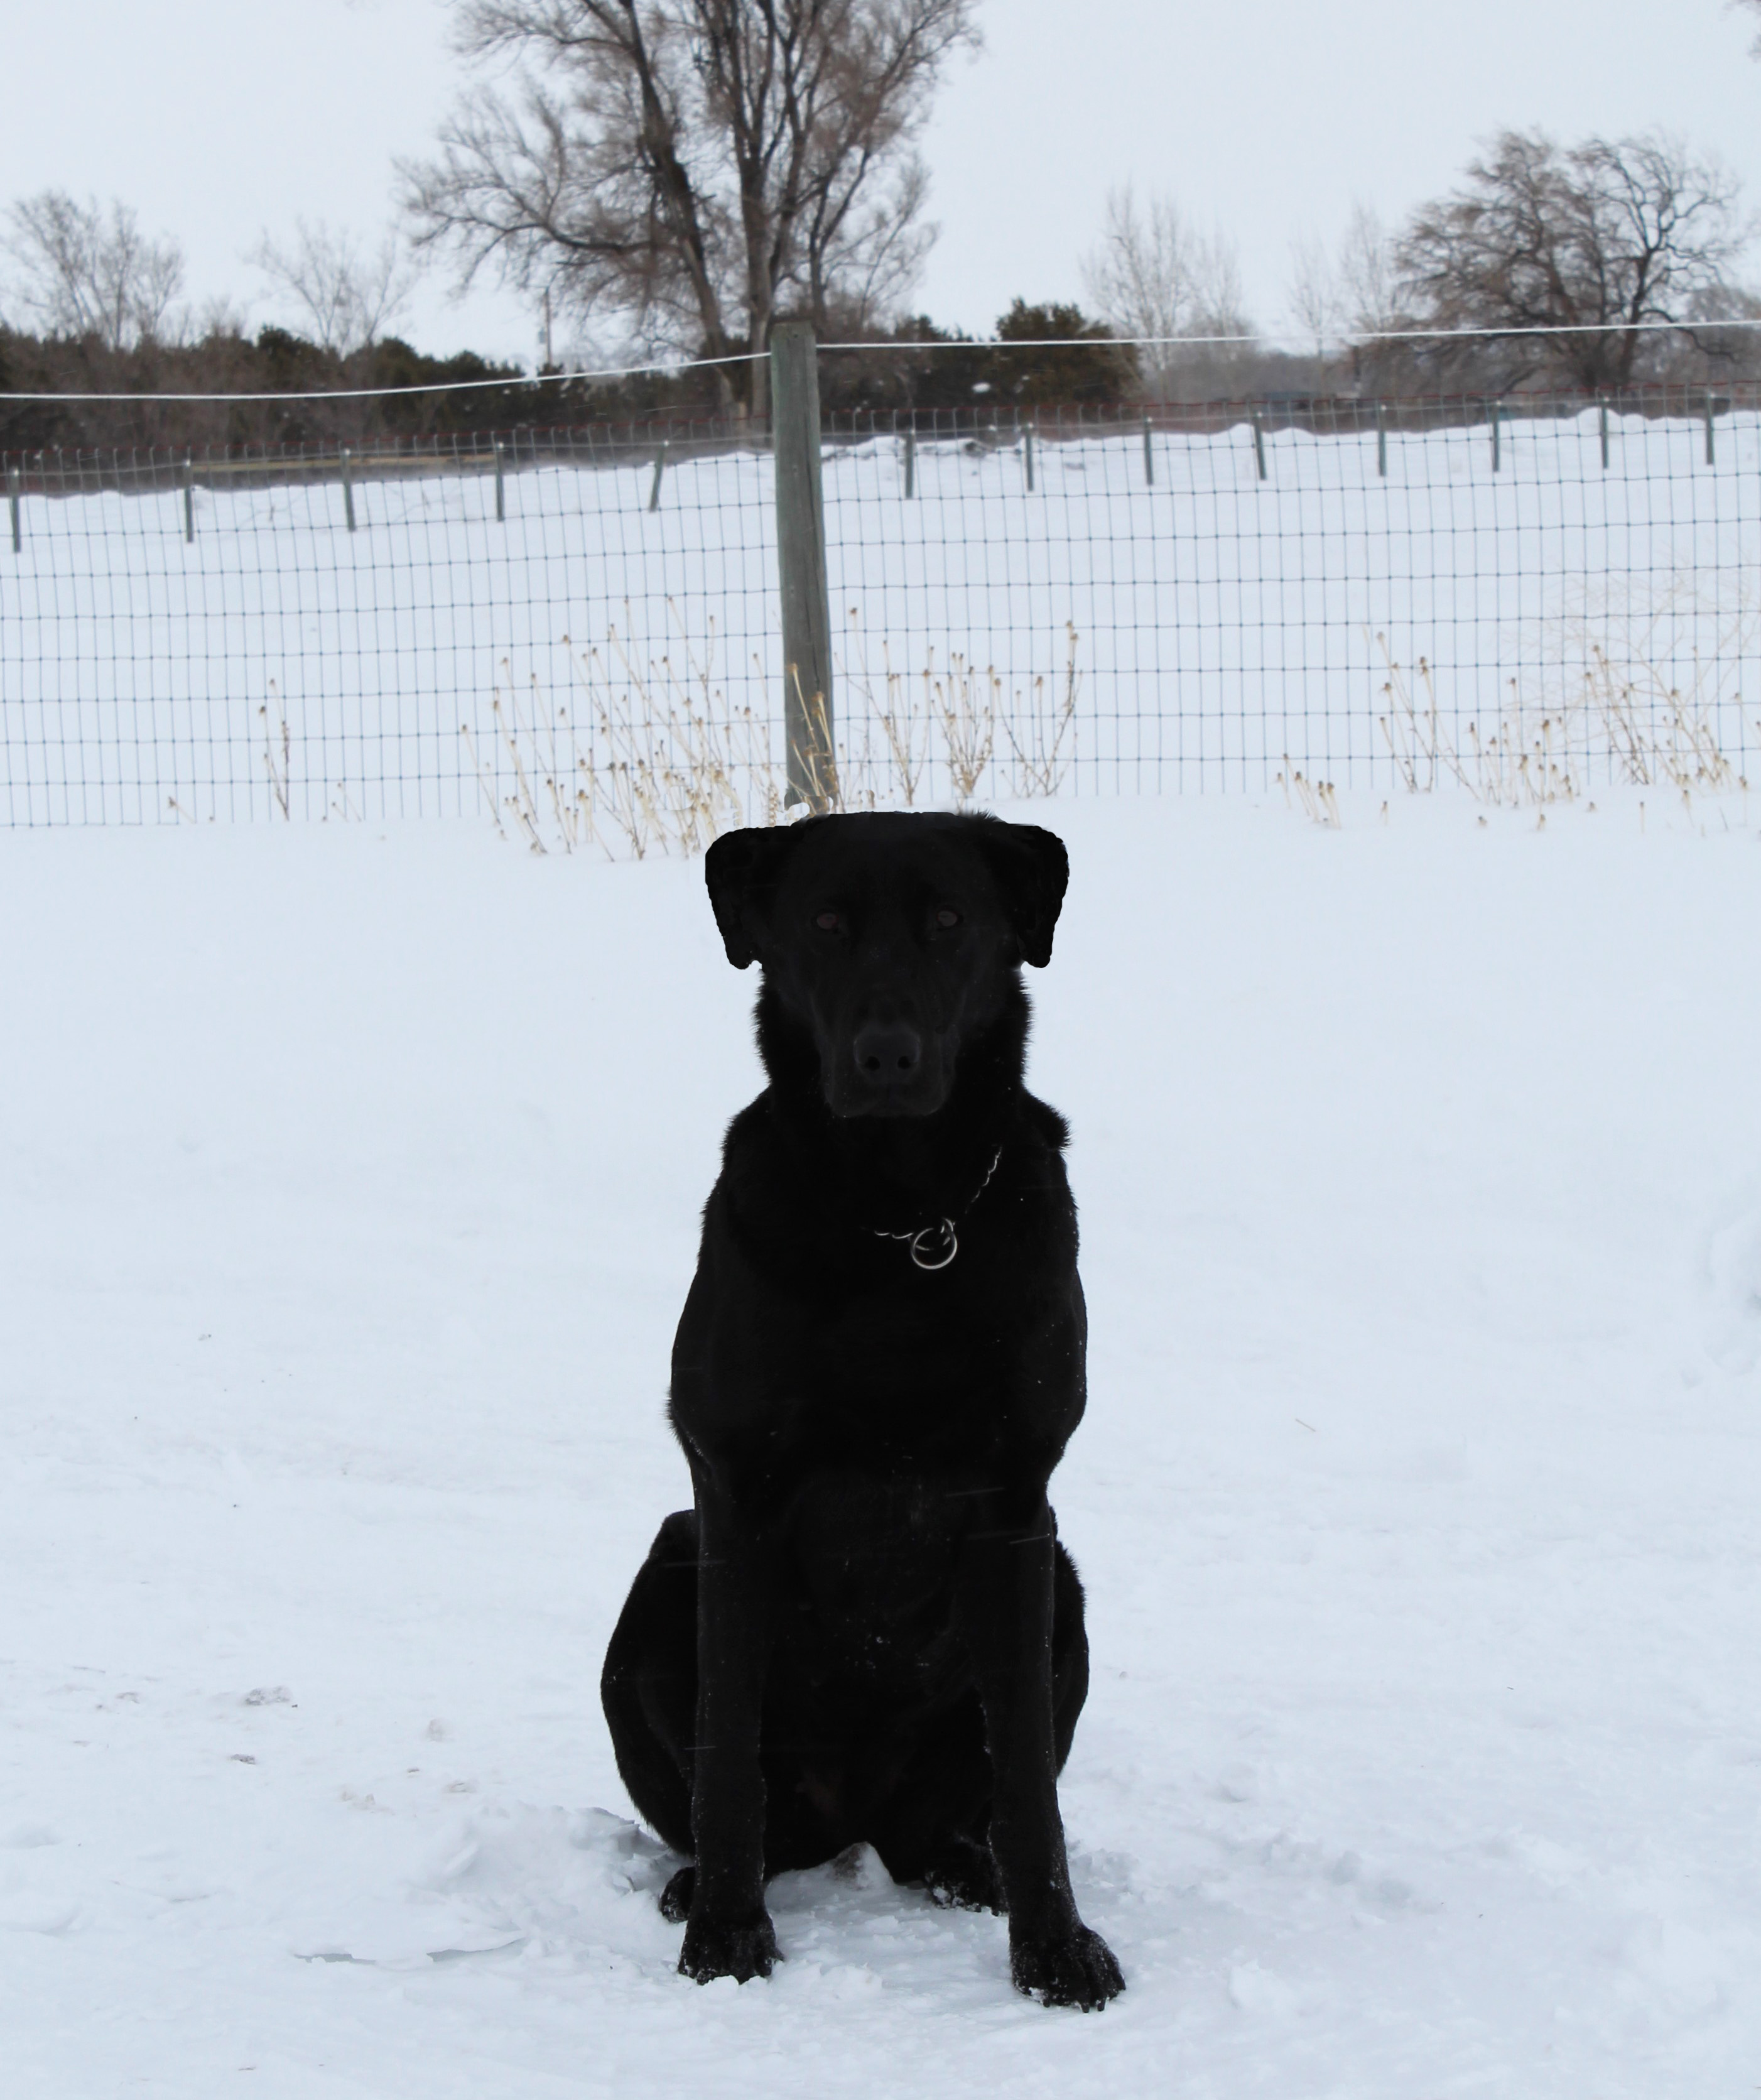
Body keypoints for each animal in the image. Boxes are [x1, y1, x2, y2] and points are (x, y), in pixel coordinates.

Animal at [604, 810, 1133, 2007]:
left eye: (947, 919)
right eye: (826, 923)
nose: (885, 1057)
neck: (902, 1225)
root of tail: (856, 1822)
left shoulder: (1016, 1503)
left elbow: (1027, 1778)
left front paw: (1054, 1949)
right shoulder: (734, 1491)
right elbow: (725, 1757)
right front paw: (727, 1938)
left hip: (1066, 1588)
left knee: (947, 1820)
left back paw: (965, 1865)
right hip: (662, 1570)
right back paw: (699, 1884)